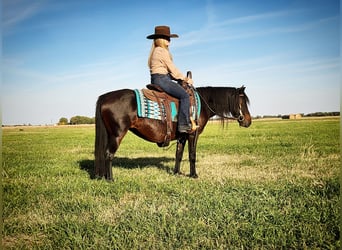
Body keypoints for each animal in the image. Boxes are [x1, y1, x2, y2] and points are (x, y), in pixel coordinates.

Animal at [93, 81, 251, 181]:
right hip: (117, 134)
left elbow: (179, 154)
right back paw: (111, 179)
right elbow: (192, 155)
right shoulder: (193, 134)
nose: (248, 121)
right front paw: (194, 175)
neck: (202, 104)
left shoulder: (182, 136)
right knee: (109, 154)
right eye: (243, 102)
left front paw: (177, 172)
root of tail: (105, 97)